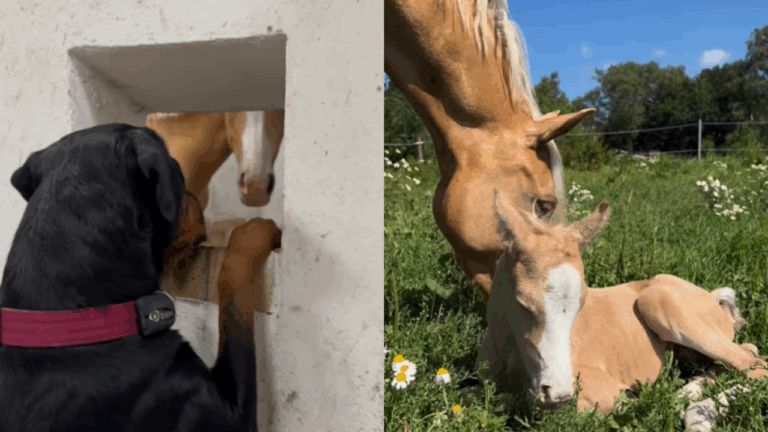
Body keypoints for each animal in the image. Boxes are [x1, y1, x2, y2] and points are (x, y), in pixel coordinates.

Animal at [476, 191, 768, 412]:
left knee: (753, 364)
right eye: (522, 303)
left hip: (658, 302)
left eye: (581, 305)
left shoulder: (598, 386)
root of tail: (711, 297)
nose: (558, 394)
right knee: (738, 357)